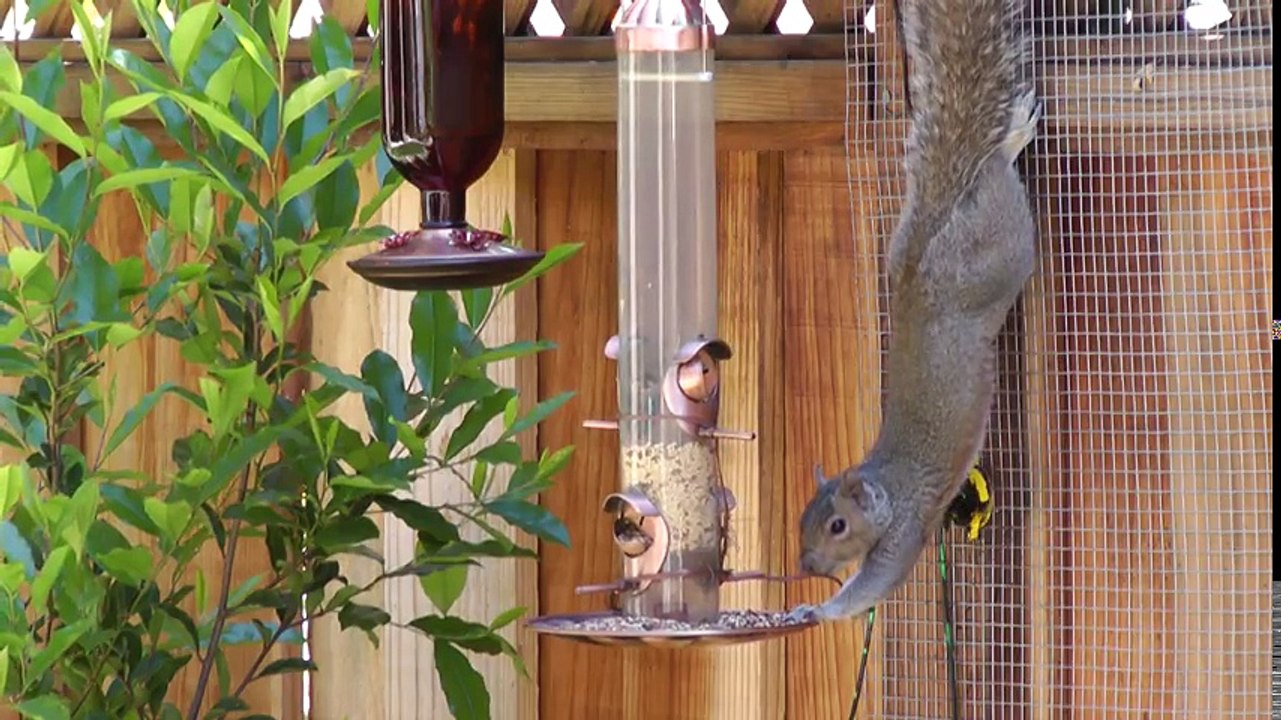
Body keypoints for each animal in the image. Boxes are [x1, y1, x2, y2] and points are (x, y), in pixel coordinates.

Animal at [786, 0, 1040, 624]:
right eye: (803, 520)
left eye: (837, 525)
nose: (806, 566)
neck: (886, 488)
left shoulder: (904, 532)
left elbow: (874, 585)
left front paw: (819, 610)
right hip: (909, 247)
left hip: (1003, 251)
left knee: (998, 172)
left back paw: (1012, 138)